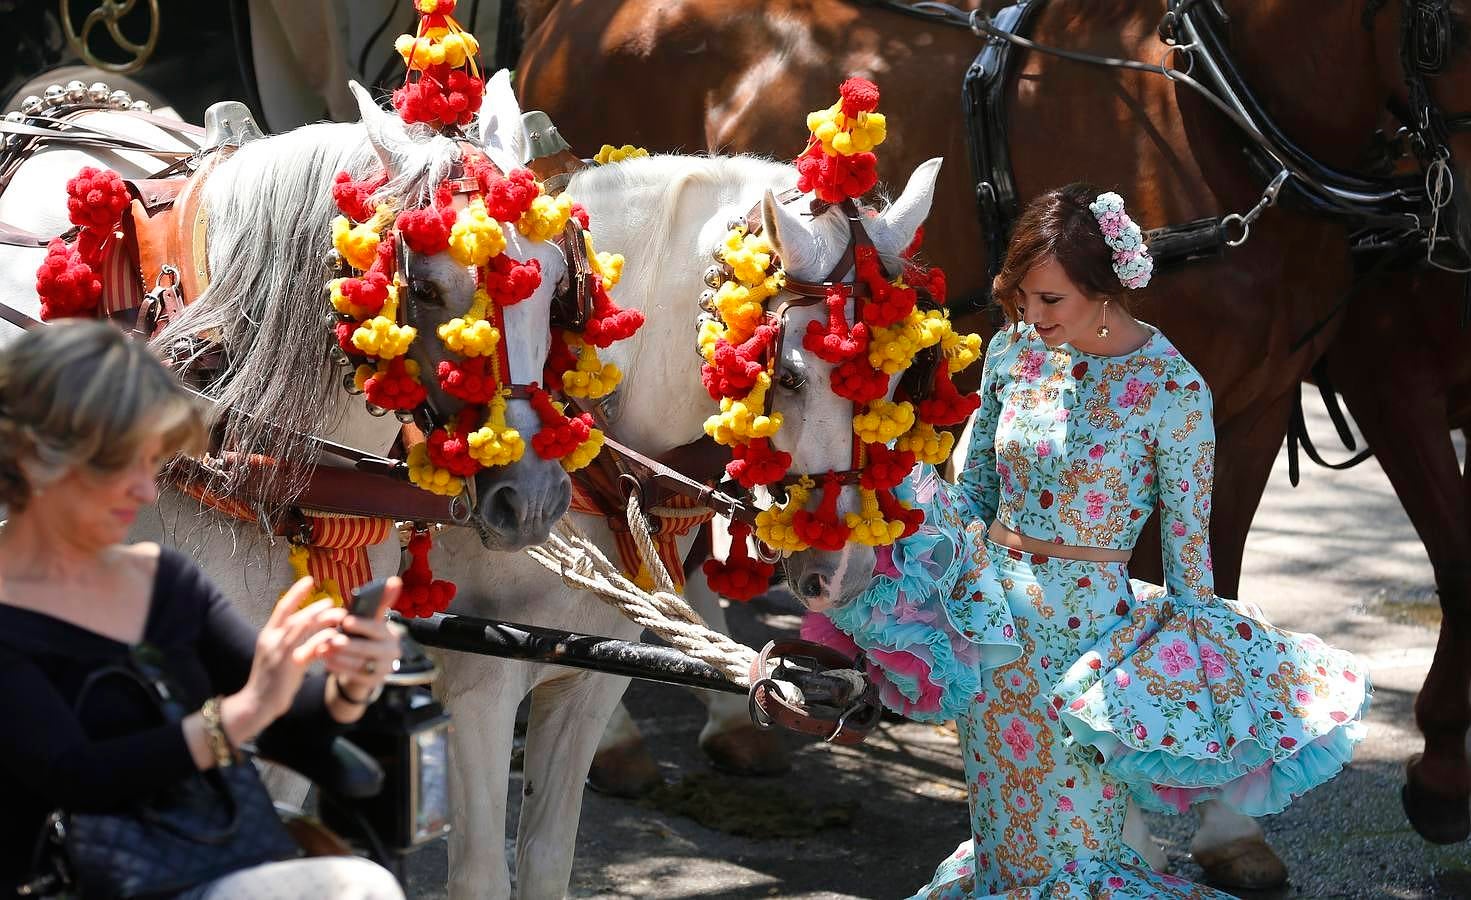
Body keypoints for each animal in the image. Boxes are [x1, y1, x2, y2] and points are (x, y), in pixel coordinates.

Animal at [511, 0, 1471, 876]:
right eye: (1441, 33)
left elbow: (1211, 581)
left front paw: (1219, 819)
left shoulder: (1257, 406)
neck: (1216, 112)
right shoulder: (1385, 375)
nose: (1458, 232)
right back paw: (628, 730)